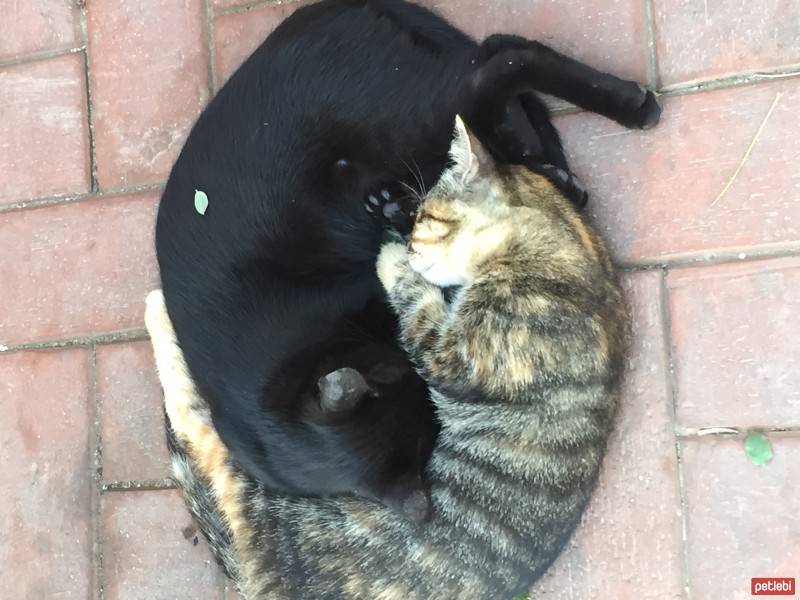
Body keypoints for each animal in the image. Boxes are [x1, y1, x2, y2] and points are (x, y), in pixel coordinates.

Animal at [147, 115, 628, 596]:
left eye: (428, 219)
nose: (411, 239)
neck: (572, 248)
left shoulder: (451, 354)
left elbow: (414, 300)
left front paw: (391, 251)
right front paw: (394, 213)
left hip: (267, 492)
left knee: (198, 426)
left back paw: (159, 312)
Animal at [153, 0, 660, 520]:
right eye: (426, 416)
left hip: (410, 113)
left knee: (500, 66)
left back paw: (629, 107)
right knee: (499, 76)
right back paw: (555, 170)